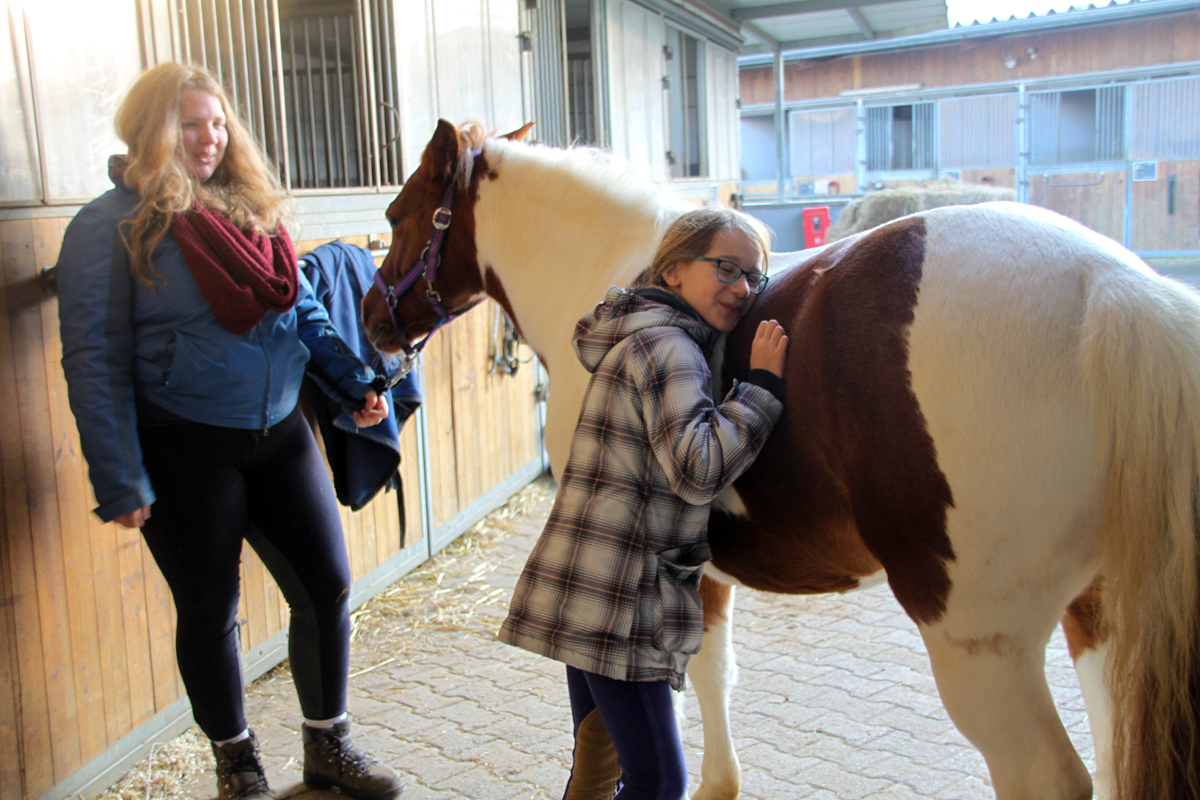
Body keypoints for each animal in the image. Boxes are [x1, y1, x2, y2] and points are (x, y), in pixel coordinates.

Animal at [362, 120, 1200, 800]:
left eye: (398, 215)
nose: (372, 320)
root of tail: (1113, 287)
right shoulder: (698, 566)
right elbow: (715, 671)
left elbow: (681, 681)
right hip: (1098, 613)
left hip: (980, 642)